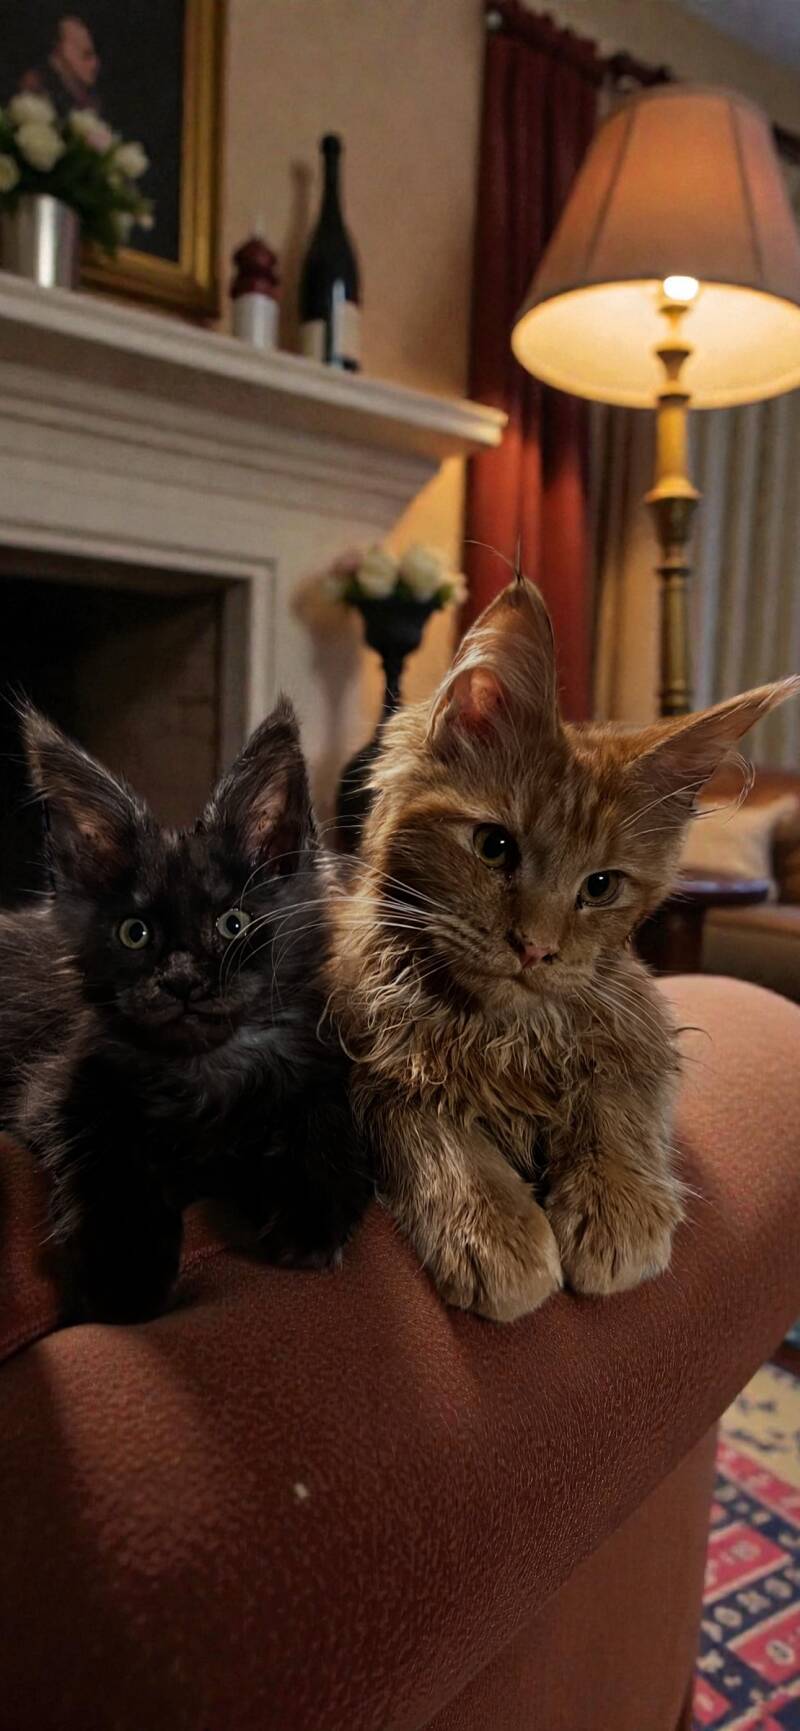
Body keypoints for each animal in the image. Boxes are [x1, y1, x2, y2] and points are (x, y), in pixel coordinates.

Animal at [0, 698, 370, 1323]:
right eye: (135, 933)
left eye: (233, 924)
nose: (181, 981)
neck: (208, 1070)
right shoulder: (63, 1088)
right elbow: (112, 1165)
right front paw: (125, 1279)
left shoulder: (319, 1067)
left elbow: (325, 1121)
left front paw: (309, 1221)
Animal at [328, 577, 799, 1323]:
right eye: (493, 846)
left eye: (600, 886)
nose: (534, 948)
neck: (504, 1030)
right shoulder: (367, 1063)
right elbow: (434, 1128)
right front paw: (489, 1227)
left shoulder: (638, 1029)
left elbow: (615, 1101)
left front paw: (616, 1205)